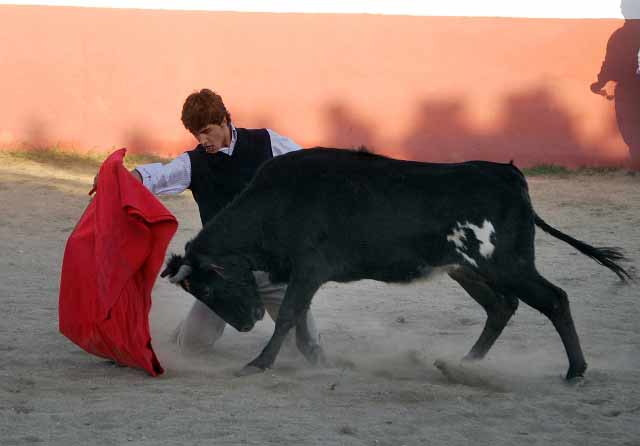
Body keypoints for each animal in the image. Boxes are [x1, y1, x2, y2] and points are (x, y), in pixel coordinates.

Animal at [160, 148, 632, 378]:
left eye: (209, 287)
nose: (246, 323)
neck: (277, 203)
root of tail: (510, 174)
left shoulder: (309, 269)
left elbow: (291, 314)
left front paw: (259, 363)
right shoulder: (305, 274)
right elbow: (298, 319)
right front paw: (314, 361)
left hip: (508, 264)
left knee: (554, 299)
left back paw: (575, 370)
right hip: (468, 269)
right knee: (501, 307)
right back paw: (464, 364)